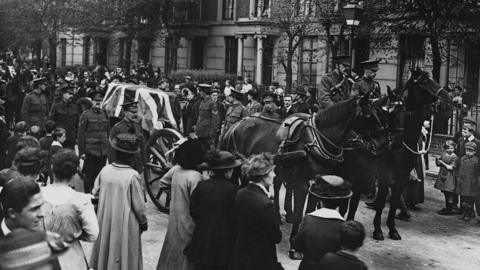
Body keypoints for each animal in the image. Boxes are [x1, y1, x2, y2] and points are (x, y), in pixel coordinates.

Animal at [219, 95, 374, 258]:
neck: (314, 141)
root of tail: (236, 125)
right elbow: (299, 212)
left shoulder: (317, 183)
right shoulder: (301, 183)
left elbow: (309, 210)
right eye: (368, 115)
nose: (379, 143)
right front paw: (294, 246)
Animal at [340, 67, 448, 240]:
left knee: (354, 197)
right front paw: (378, 230)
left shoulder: (402, 176)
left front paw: (392, 229)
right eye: (425, 82)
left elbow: (395, 200)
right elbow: (382, 202)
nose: (447, 98)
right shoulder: (385, 176)